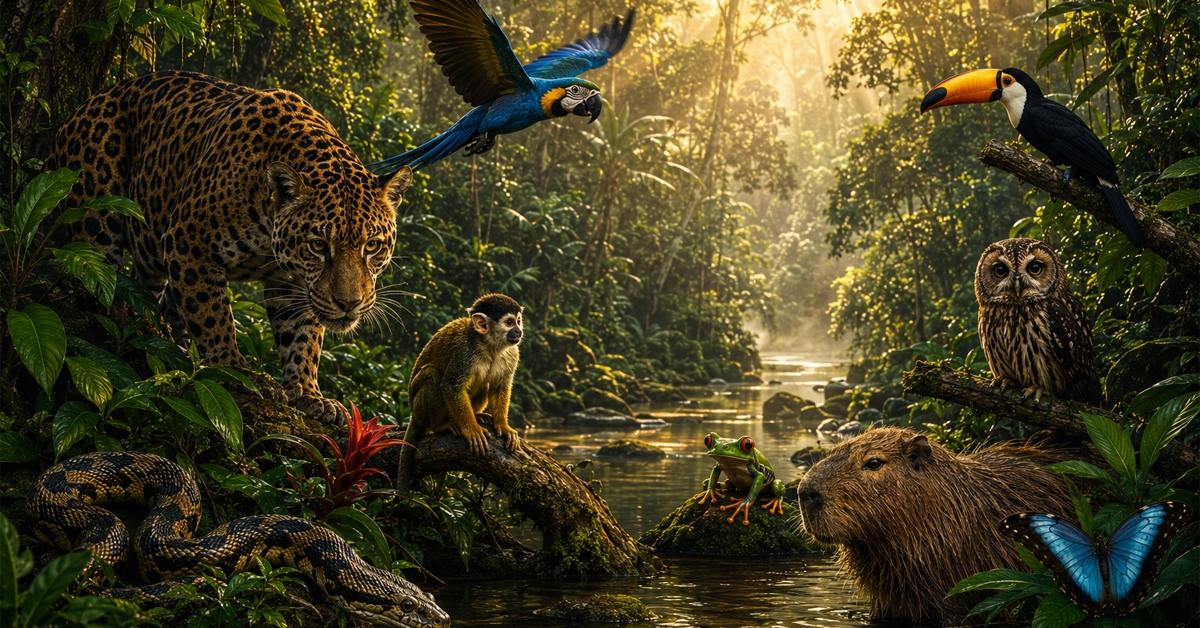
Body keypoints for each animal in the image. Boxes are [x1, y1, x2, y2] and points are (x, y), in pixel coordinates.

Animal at [47, 70, 413, 424]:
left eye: (372, 246)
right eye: (319, 245)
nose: (349, 304)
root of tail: (85, 105)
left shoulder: (293, 281)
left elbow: (303, 334)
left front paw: (308, 393)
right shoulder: (188, 241)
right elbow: (213, 315)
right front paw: (235, 369)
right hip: (96, 220)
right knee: (96, 284)